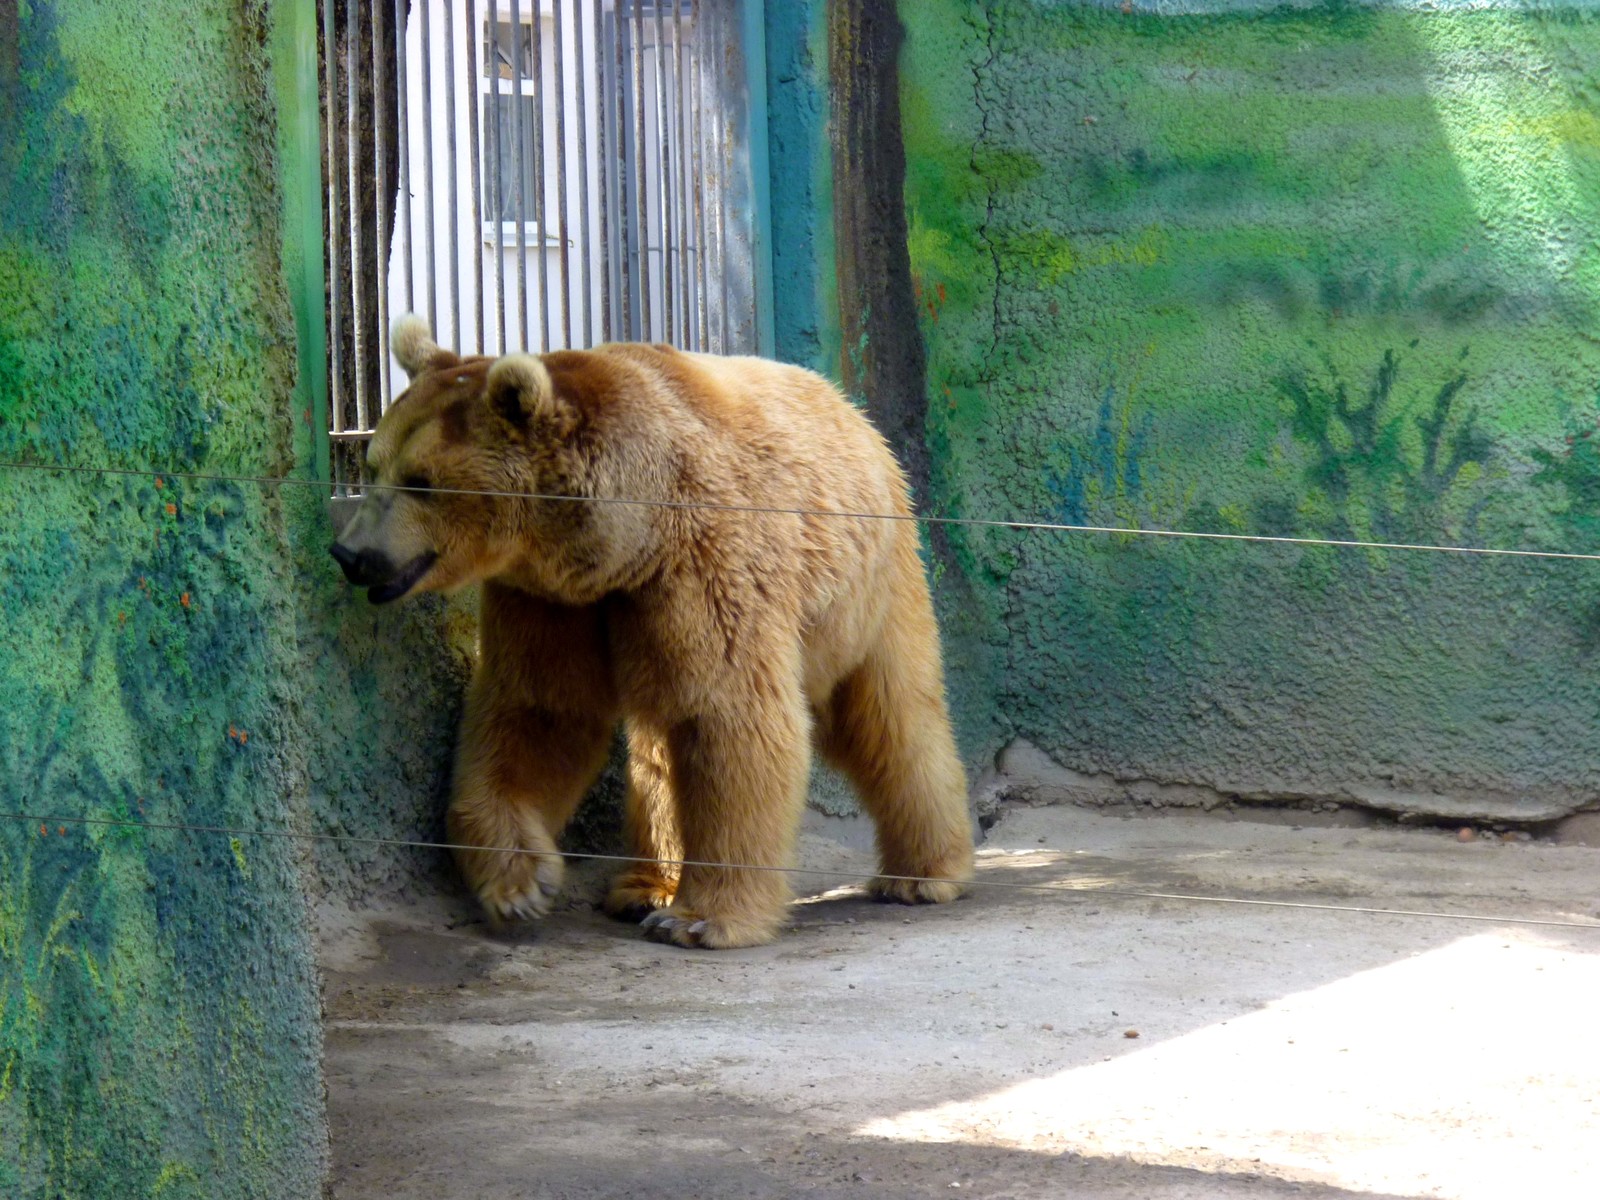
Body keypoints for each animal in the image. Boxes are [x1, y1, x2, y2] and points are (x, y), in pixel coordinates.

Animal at [331, 316, 966, 947]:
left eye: (422, 481)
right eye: (374, 464)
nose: (351, 553)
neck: (628, 537)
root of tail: (848, 405)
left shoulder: (704, 563)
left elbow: (729, 718)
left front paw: (701, 918)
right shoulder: (552, 599)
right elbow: (540, 712)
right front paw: (521, 883)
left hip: (868, 588)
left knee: (890, 716)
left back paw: (923, 873)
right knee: (657, 752)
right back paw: (644, 887)